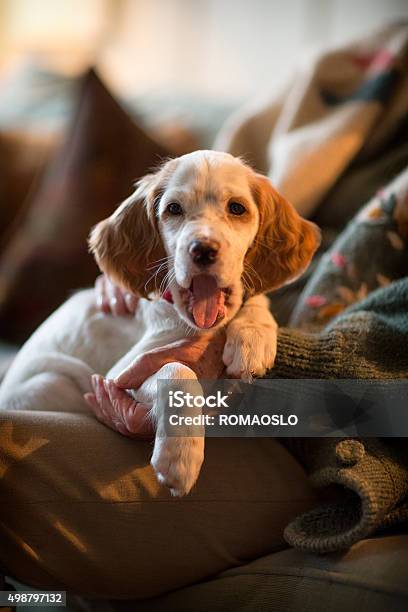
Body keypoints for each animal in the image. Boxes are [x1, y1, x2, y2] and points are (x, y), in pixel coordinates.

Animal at [0, 152, 320, 498]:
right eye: (174, 209)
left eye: (237, 208)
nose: (202, 249)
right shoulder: (122, 373)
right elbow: (178, 371)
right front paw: (179, 458)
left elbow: (254, 302)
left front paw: (252, 341)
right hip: (52, 382)